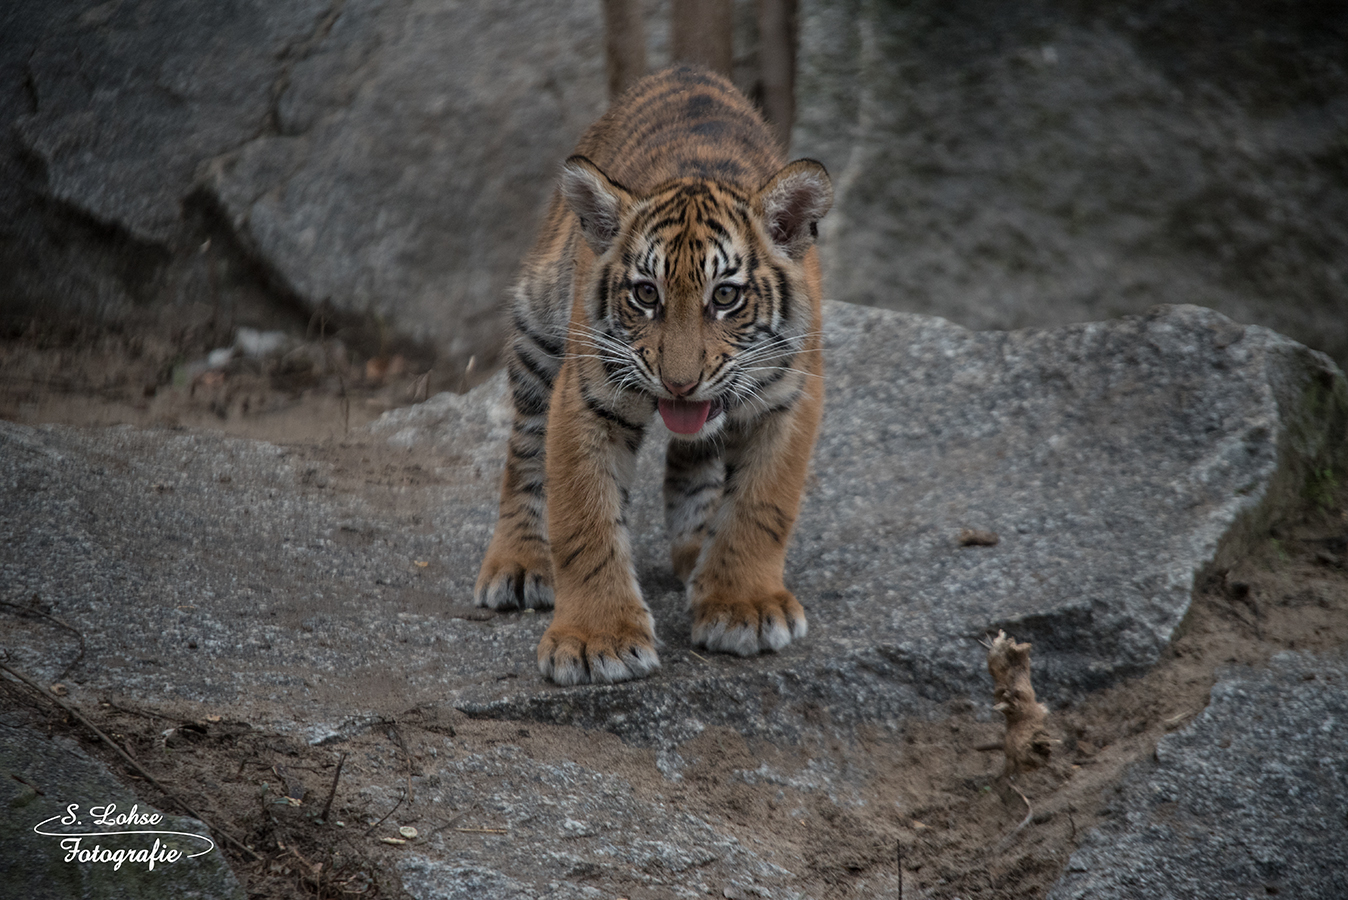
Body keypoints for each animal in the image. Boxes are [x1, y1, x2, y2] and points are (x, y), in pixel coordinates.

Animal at [474, 66, 830, 684]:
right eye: (645, 294)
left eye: (725, 296)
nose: (679, 383)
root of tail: (686, 69)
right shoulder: (584, 397)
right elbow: (585, 521)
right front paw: (598, 640)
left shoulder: (791, 397)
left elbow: (761, 506)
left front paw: (742, 606)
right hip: (538, 330)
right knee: (524, 451)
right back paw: (519, 562)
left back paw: (697, 549)